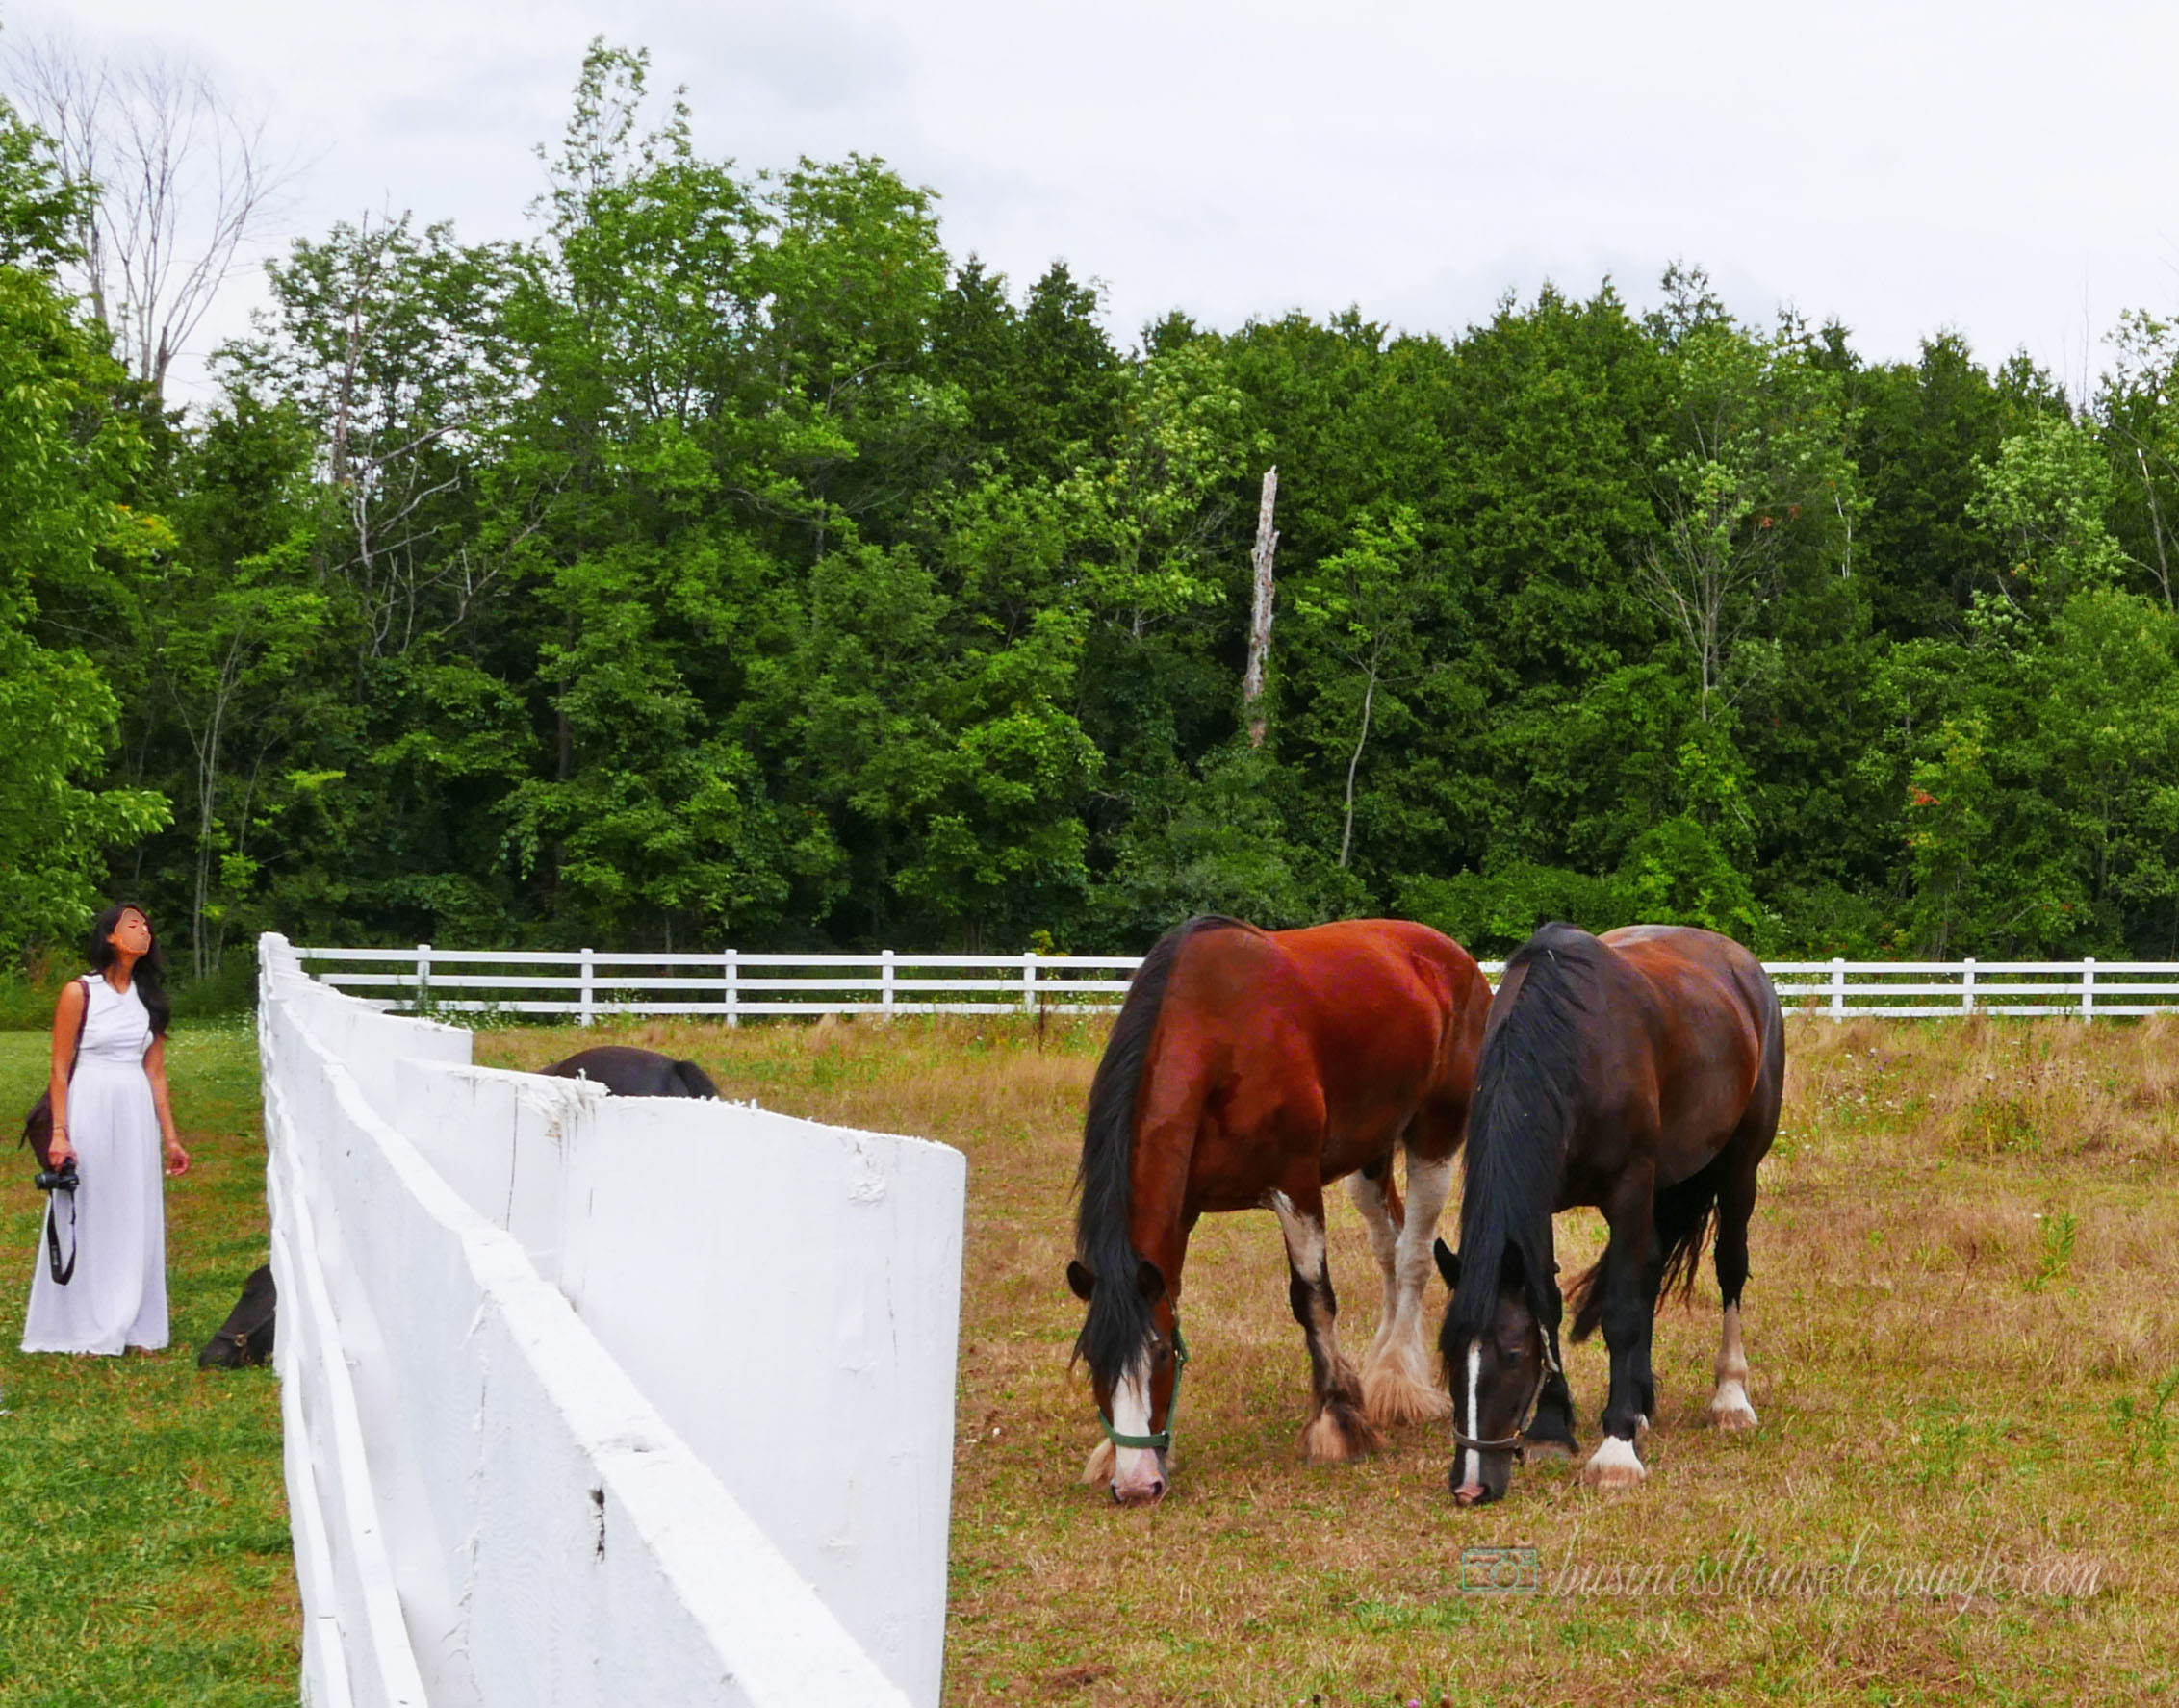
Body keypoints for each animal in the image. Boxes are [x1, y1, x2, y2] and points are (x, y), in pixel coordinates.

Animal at [1066, 915, 1492, 1505]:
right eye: (1093, 1364)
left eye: (1159, 1355)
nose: (1136, 1485)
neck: (1220, 1034)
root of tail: (1457, 959)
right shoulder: (1181, 1211)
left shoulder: (1296, 1188)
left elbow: (1313, 1301)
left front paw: (1339, 1420)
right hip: (1370, 1155)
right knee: (1390, 1245)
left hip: (1436, 1136)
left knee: (1413, 1256)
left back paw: (1398, 1383)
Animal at [1432, 921, 1783, 1505]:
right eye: (1450, 1355)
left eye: (1511, 1354)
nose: (1470, 1486)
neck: (1572, 1046)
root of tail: (1745, 967)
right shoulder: (1544, 1200)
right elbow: (1549, 1304)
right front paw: (1553, 1426)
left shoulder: (1629, 1186)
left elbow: (1619, 1314)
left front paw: (1616, 1451)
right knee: (1649, 1270)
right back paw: (1640, 1403)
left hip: (1738, 1169)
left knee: (1730, 1266)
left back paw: (1730, 1398)